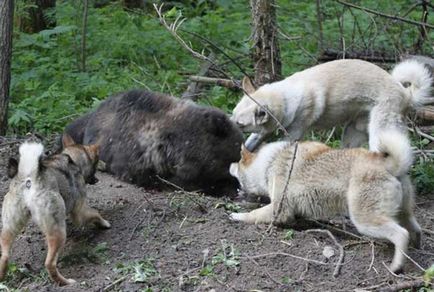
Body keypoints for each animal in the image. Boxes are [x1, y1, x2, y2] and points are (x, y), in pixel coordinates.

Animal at [0, 136, 110, 286]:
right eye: (96, 163)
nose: (97, 179)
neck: (73, 158)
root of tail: (29, 179)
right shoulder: (80, 212)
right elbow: (95, 213)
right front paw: (104, 223)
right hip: (57, 233)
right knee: (49, 264)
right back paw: (65, 282)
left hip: (9, 228)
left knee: (4, 256)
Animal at [231, 131, 420, 272]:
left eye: (238, 162)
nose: (230, 165)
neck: (269, 162)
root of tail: (391, 165)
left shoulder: (279, 209)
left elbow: (253, 214)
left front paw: (236, 216)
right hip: (403, 214)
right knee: (415, 229)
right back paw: (416, 248)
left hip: (365, 222)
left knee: (401, 234)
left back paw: (396, 266)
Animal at [234, 58, 434, 152]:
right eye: (233, 117)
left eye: (240, 125)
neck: (286, 98)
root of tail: (405, 93)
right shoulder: (262, 132)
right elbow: (252, 142)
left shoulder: (294, 134)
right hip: (352, 133)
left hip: (379, 133)